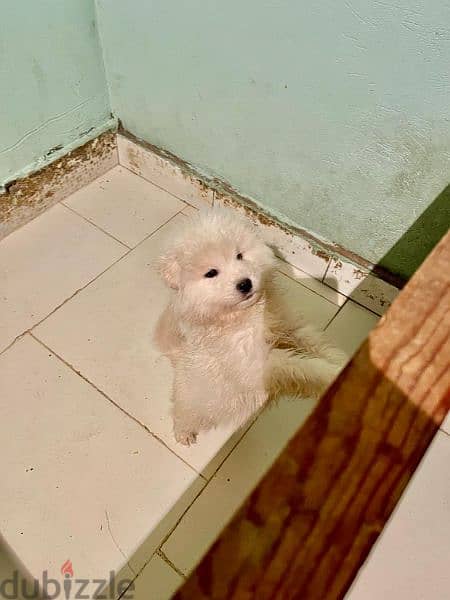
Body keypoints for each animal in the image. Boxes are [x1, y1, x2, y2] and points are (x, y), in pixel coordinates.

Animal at [155, 209, 344, 442]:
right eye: (211, 273)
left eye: (239, 255)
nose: (245, 283)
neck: (246, 314)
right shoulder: (259, 361)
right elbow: (304, 365)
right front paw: (333, 374)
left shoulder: (289, 326)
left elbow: (318, 345)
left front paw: (343, 361)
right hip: (195, 403)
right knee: (182, 414)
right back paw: (184, 434)